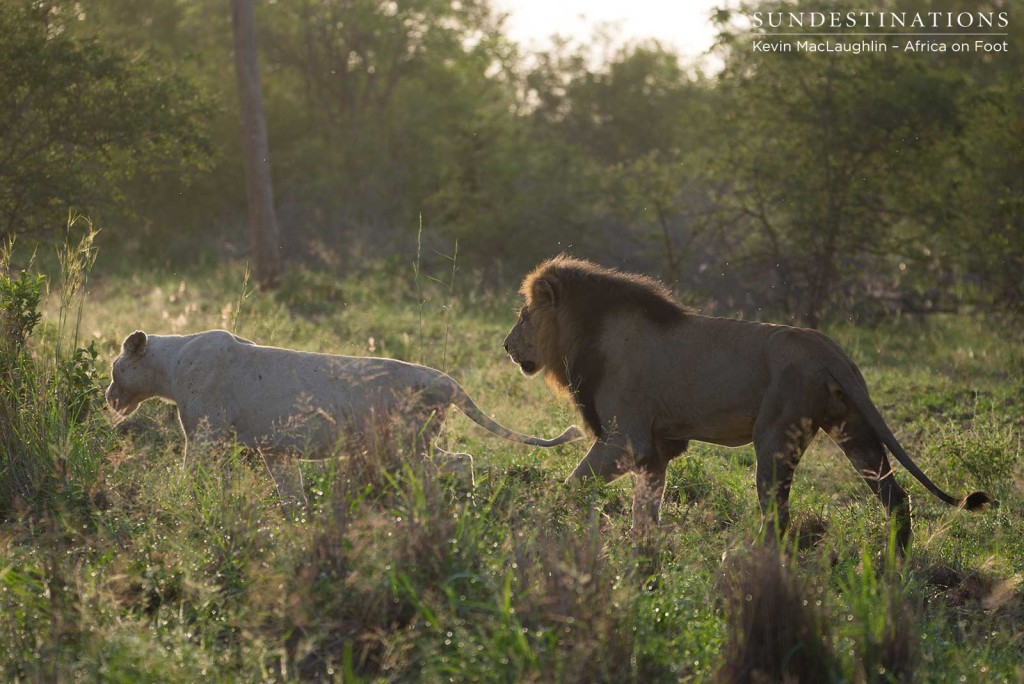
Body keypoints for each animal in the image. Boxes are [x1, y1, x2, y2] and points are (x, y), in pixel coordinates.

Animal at [111, 327, 585, 505]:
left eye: (115, 368)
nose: (108, 396)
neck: (170, 364)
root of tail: (444, 380)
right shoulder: (276, 450)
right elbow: (290, 491)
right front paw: (295, 519)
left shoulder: (204, 435)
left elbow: (189, 473)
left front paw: (176, 499)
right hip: (415, 442)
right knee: (461, 460)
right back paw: (462, 504)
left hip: (403, 445)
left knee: (445, 467)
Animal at [503, 255, 991, 548]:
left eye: (524, 316)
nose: (506, 346)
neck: (582, 334)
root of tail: (833, 352)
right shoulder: (656, 448)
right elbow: (647, 508)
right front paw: (643, 552)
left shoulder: (627, 439)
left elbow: (574, 482)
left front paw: (544, 515)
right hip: (855, 431)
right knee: (896, 499)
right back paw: (895, 565)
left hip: (774, 437)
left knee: (777, 517)